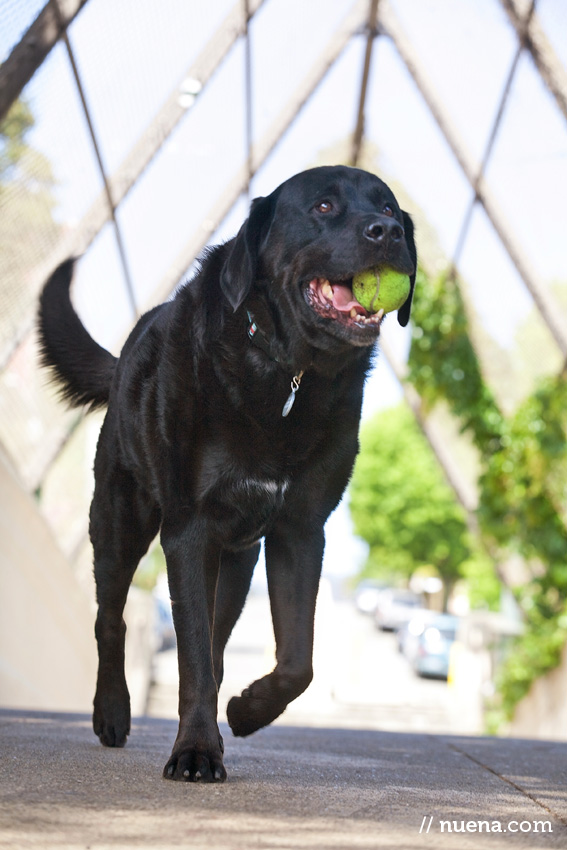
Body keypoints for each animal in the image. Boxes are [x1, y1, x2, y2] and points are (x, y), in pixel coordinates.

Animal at [37, 164, 414, 780]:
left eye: (388, 207)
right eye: (325, 205)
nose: (389, 232)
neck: (287, 373)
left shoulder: (299, 532)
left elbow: (297, 659)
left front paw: (247, 709)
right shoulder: (189, 531)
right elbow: (190, 654)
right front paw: (195, 750)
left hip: (237, 561)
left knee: (215, 641)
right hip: (120, 522)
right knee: (111, 619)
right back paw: (112, 713)